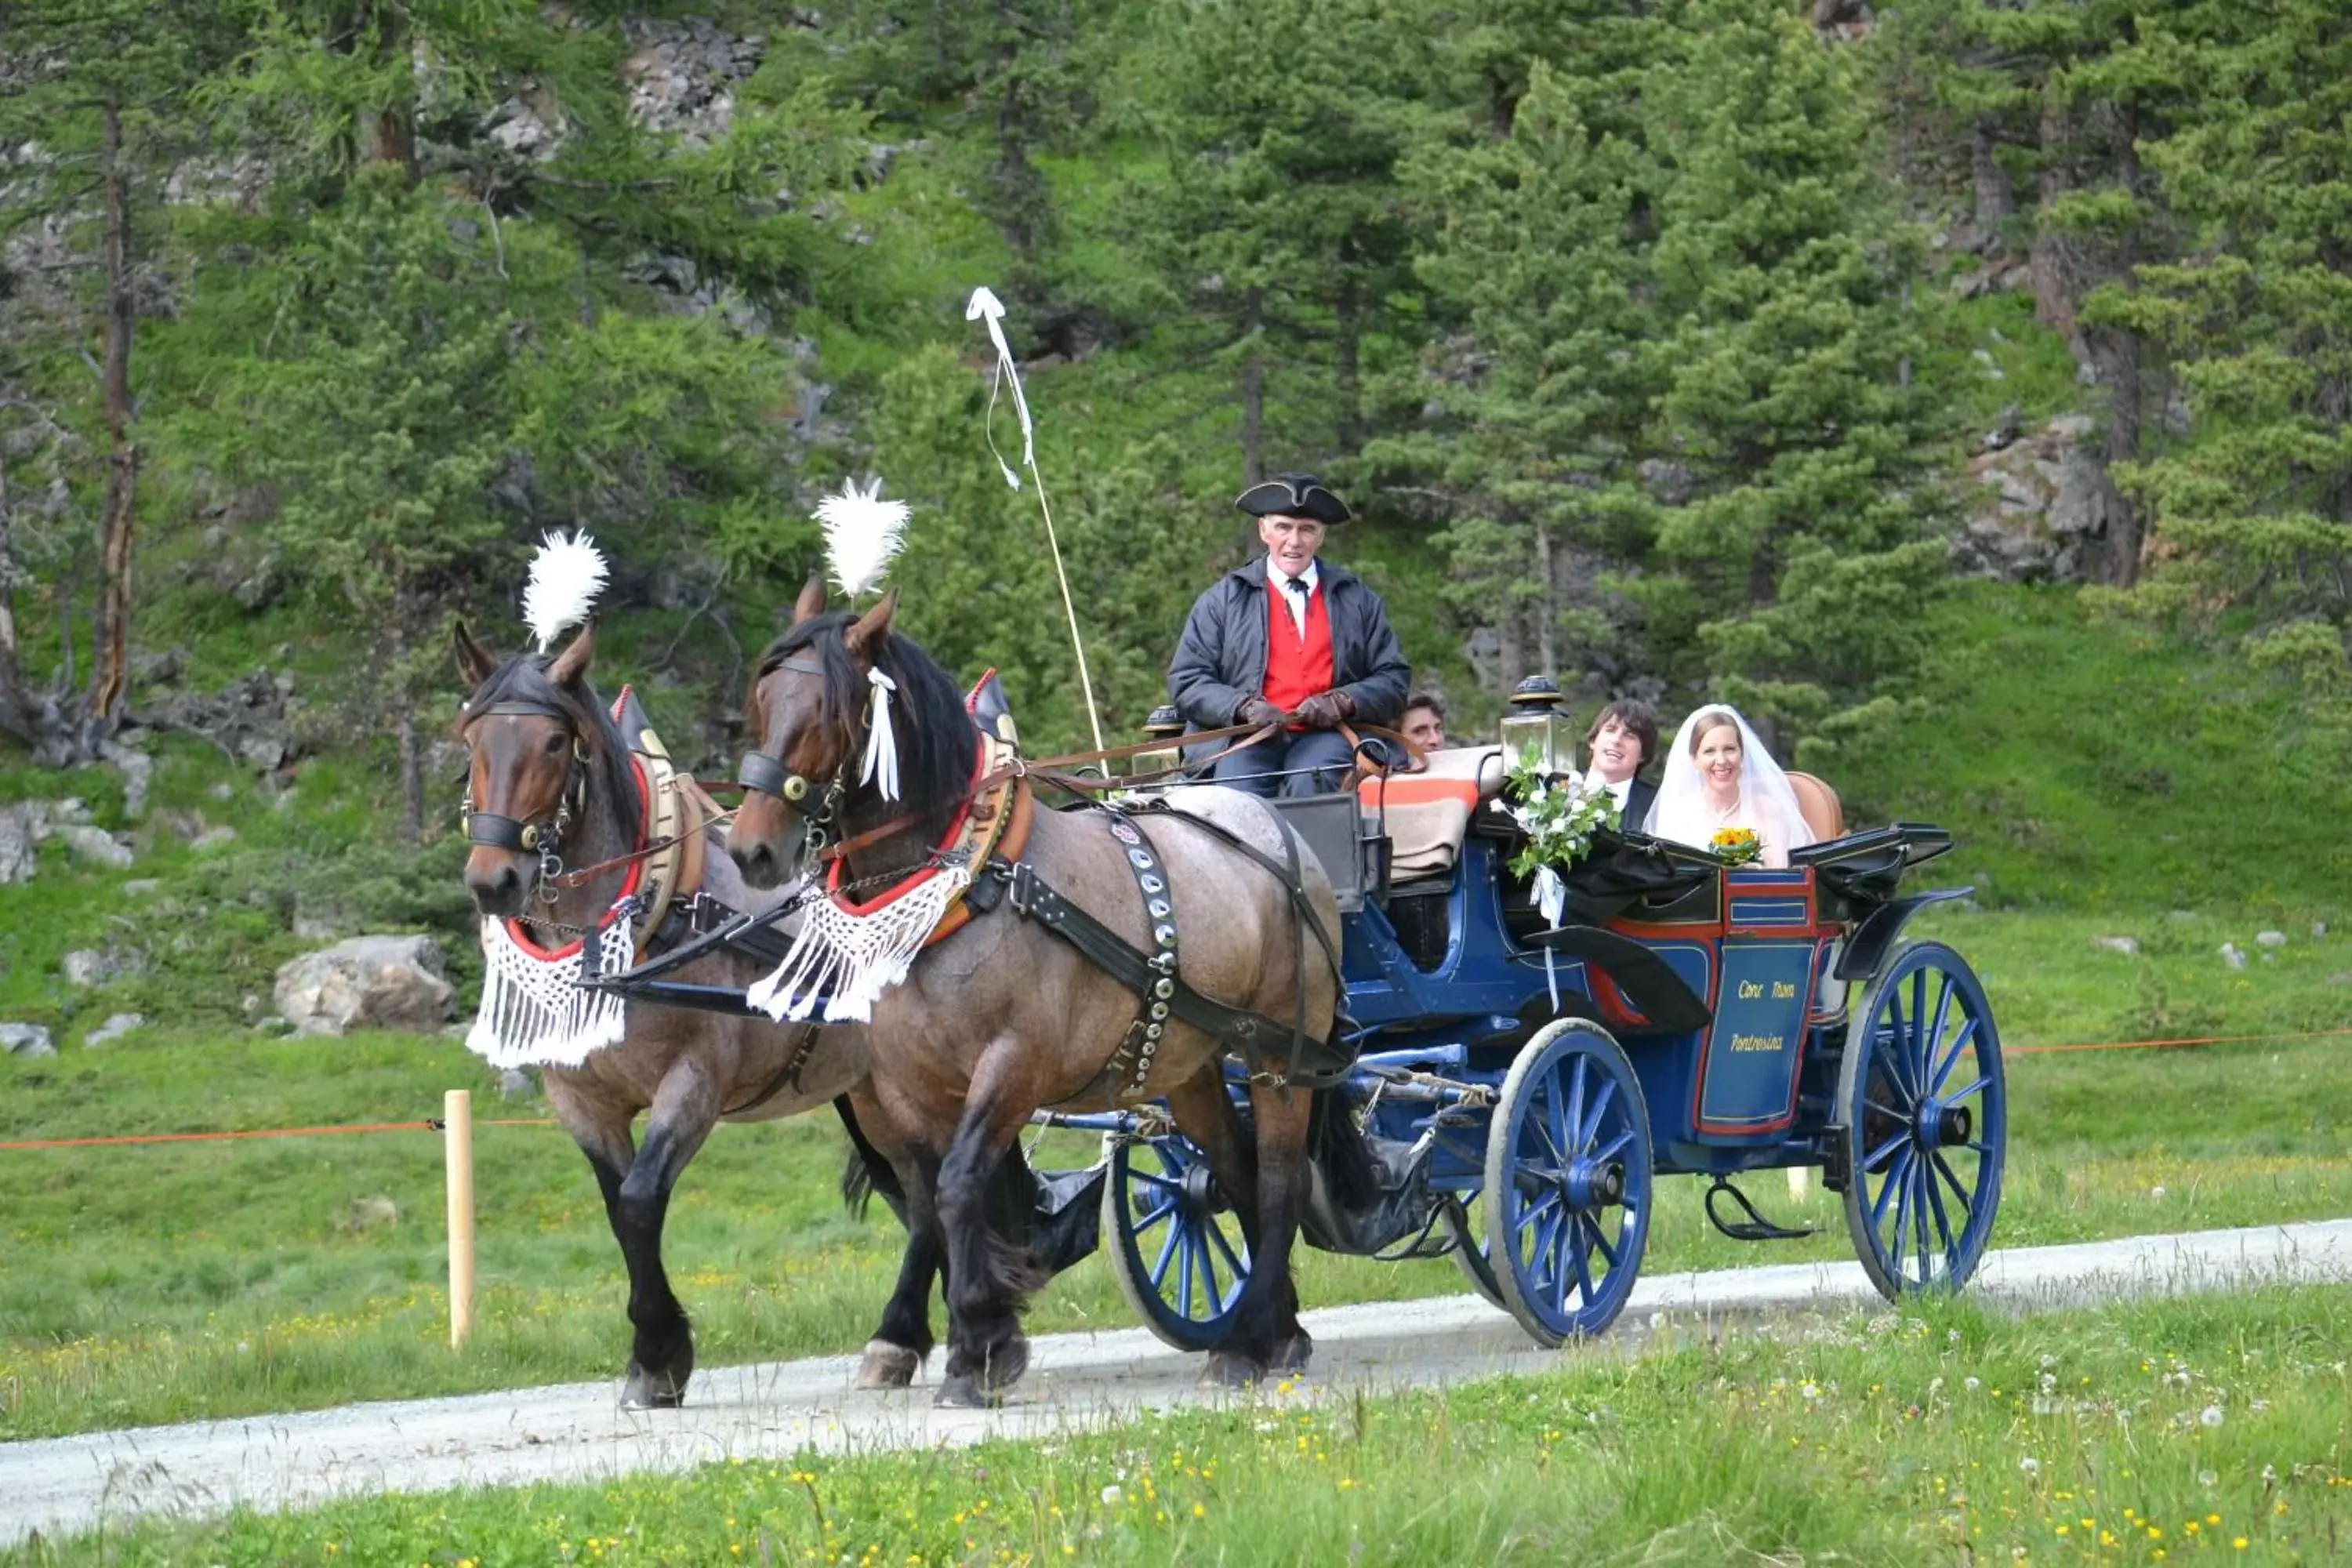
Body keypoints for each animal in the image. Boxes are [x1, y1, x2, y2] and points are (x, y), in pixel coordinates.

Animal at [449, 620, 964, 1410]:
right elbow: (618, 1211)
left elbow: (640, 1200)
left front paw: (660, 1355)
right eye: (472, 741)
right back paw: (908, 1335)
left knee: (937, 1191)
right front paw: (652, 1356)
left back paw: (909, 1334)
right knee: (916, 1194)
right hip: (871, 1094)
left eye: (554, 744)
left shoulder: (693, 1081)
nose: (493, 880)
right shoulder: (579, 1098)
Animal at [734, 585, 1364, 1401]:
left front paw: (977, 1348)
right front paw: (981, 1340)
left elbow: (961, 1187)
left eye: (828, 713)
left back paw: (1248, 1340)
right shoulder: (908, 1085)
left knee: (1281, 1178)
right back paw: (1279, 1331)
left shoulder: (1013, 1066)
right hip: (1191, 1063)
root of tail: (1277, 829)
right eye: (761, 700)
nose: (752, 850)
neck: (967, 887)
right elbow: (934, 1200)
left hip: (1281, 1055)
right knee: (1235, 1169)